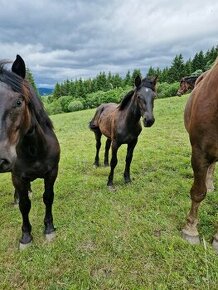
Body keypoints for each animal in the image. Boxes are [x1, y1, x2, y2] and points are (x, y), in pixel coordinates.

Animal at [0, 55, 60, 249]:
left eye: (19, 102)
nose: (1, 159)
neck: (34, 150)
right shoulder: (17, 177)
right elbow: (25, 205)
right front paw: (26, 236)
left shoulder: (52, 172)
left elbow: (48, 197)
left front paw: (49, 228)